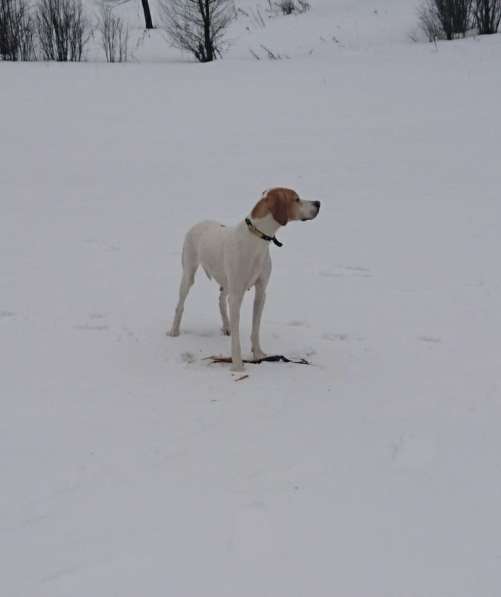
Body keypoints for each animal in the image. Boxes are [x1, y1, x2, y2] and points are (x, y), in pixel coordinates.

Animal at [166, 189, 318, 370]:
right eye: (296, 199)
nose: (318, 203)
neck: (256, 239)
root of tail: (200, 222)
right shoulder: (237, 295)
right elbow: (237, 337)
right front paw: (238, 366)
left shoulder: (261, 292)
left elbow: (255, 329)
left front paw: (258, 354)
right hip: (189, 274)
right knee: (180, 305)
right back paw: (174, 331)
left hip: (227, 281)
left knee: (221, 299)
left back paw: (226, 326)